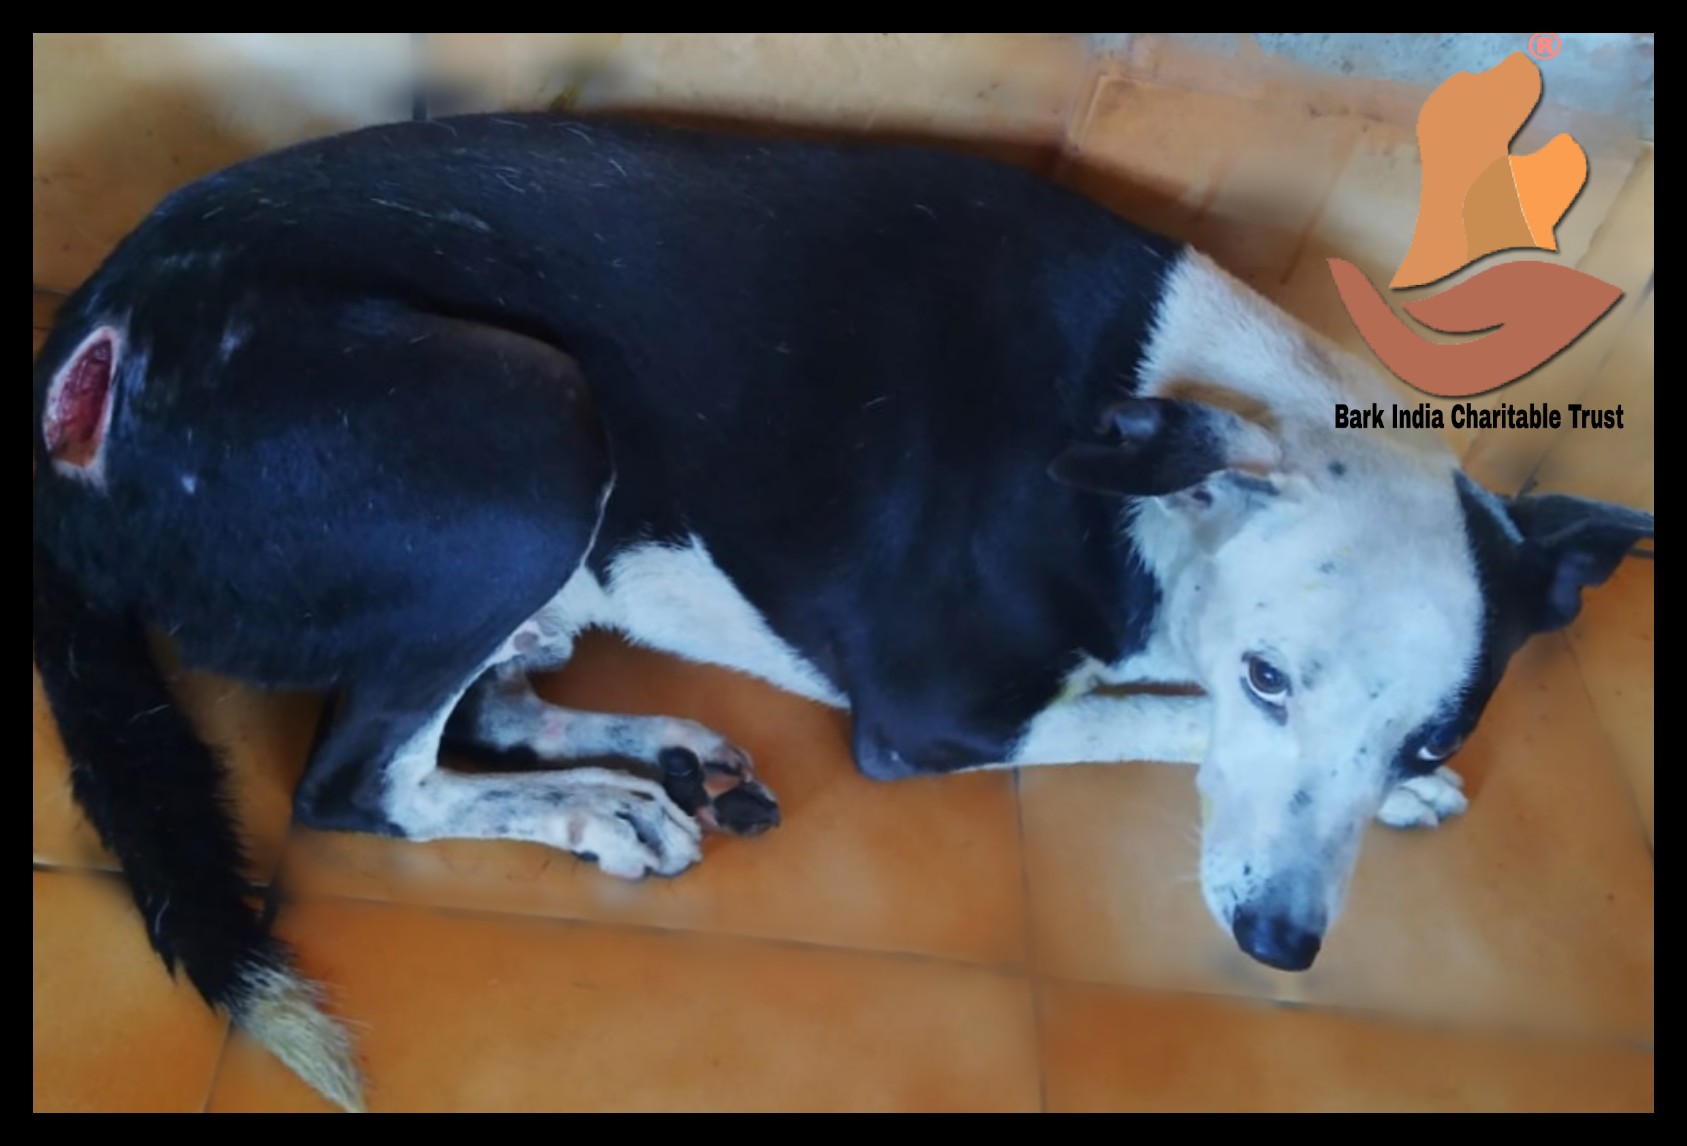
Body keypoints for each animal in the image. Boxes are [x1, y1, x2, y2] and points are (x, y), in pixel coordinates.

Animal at [33, 113, 1652, 1111]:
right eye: (1266, 675)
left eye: (1430, 728)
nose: (1277, 944)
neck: (1165, 427)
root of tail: (82, 367)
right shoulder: (936, 720)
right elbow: (1150, 719)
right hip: (533, 435)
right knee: (362, 780)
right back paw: (593, 806)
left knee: (480, 697)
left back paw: (652, 752)